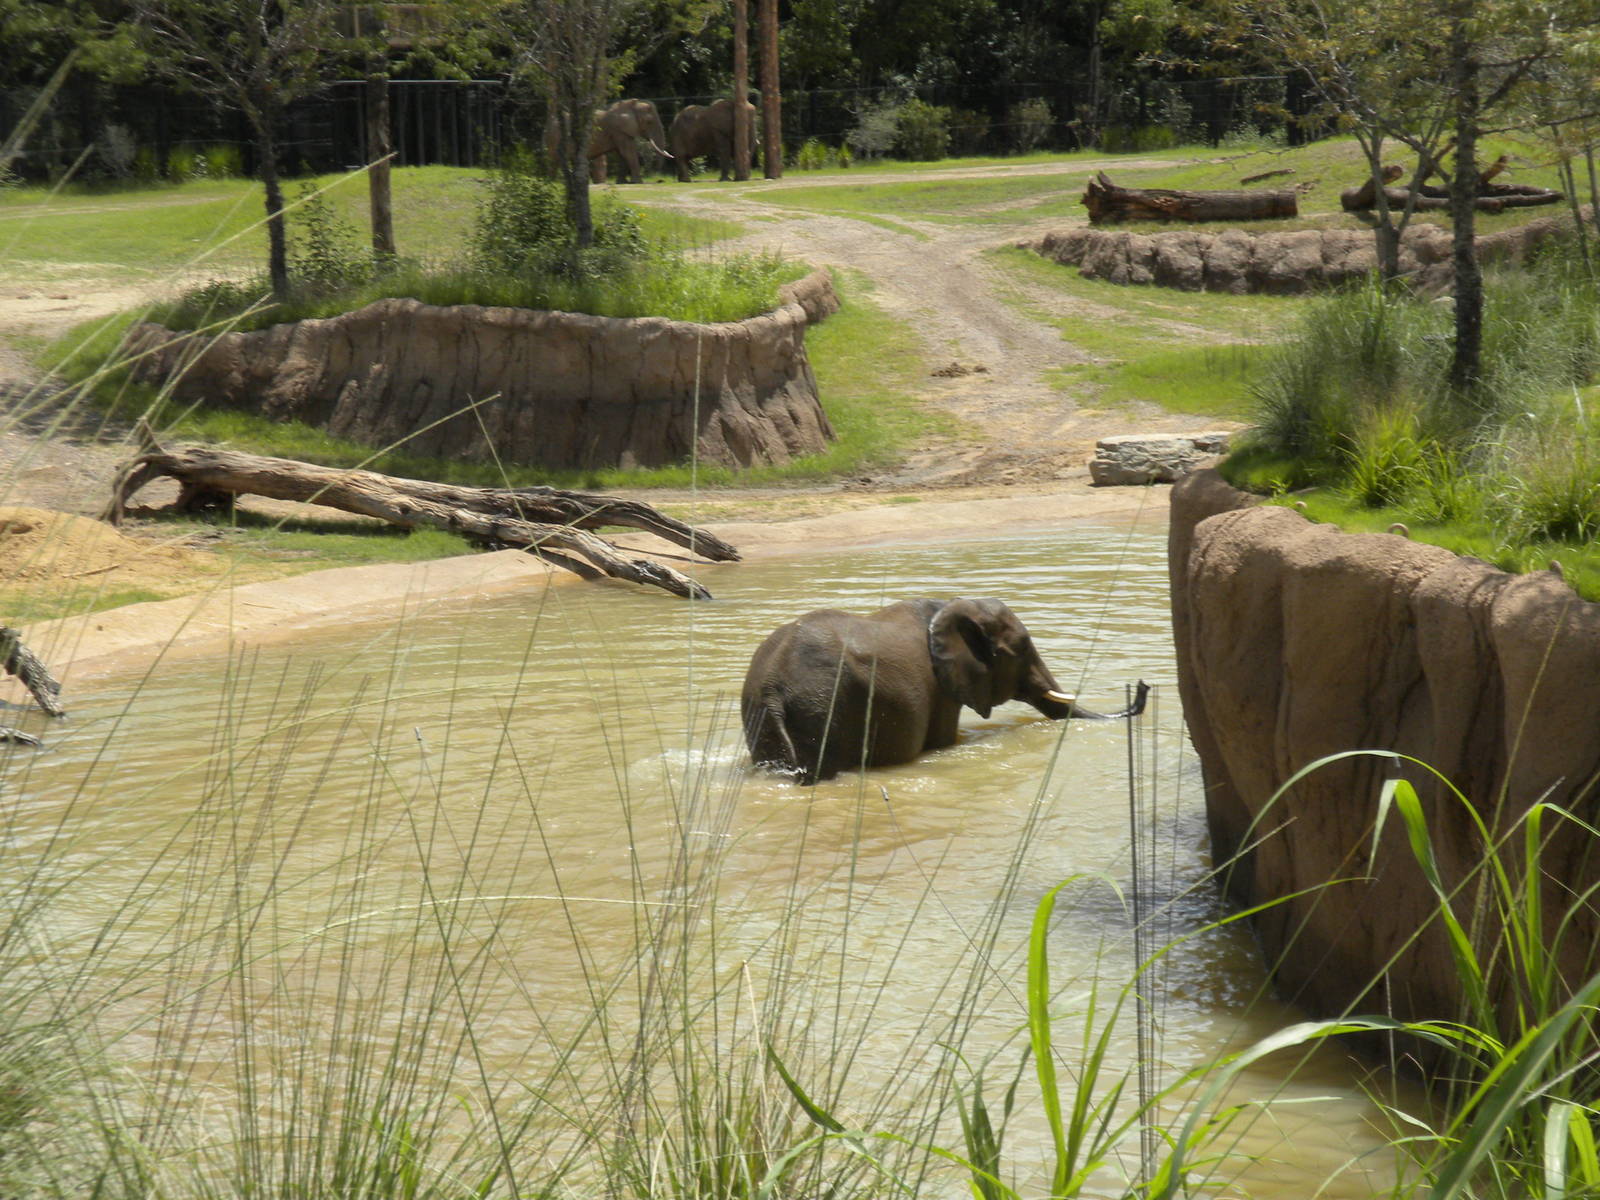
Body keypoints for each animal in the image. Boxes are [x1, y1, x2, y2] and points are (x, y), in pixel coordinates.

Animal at [741, 597, 1149, 784]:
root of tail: (773, 686)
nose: (1144, 683)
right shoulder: (942, 689)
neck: (951, 605)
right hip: (822, 710)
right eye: (1020, 651)